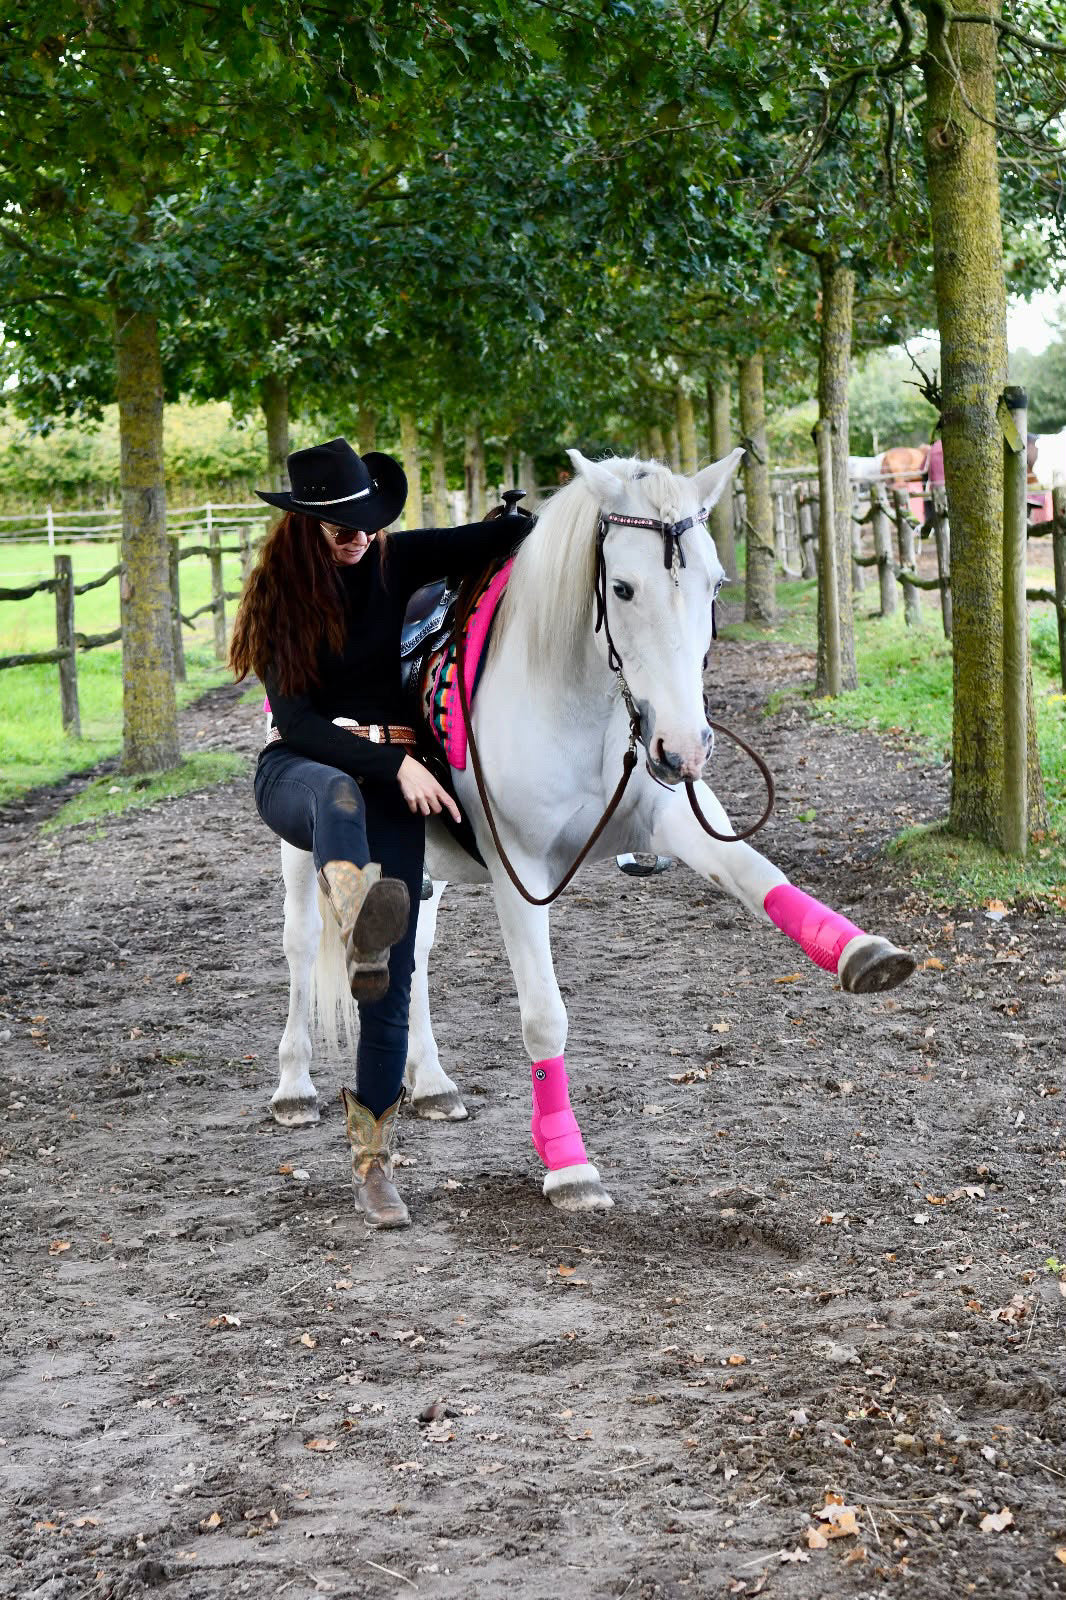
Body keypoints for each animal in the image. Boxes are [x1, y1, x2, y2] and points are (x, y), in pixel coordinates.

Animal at [269, 449, 917, 1212]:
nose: (686, 747)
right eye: (623, 588)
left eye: (715, 583)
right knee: (302, 944)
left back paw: (429, 1083)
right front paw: (568, 1162)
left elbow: (762, 879)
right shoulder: (518, 869)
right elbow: (544, 1015)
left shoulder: (675, 817)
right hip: (300, 841)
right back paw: (293, 1085)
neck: (579, 701)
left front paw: (861, 952)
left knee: (412, 952)